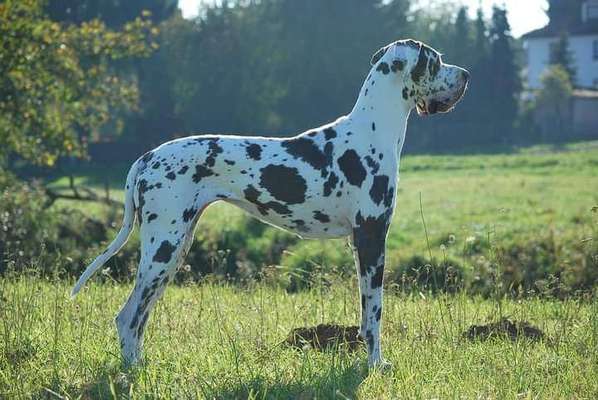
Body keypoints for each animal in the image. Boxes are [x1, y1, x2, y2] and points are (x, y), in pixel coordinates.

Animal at [72, 38, 472, 368]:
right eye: (436, 60)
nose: (466, 74)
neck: (372, 131)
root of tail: (147, 157)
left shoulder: (360, 243)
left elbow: (365, 314)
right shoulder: (372, 237)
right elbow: (374, 312)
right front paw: (375, 364)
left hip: (173, 251)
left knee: (139, 318)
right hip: (162, 249)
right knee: (128, 316)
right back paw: (132, 371)